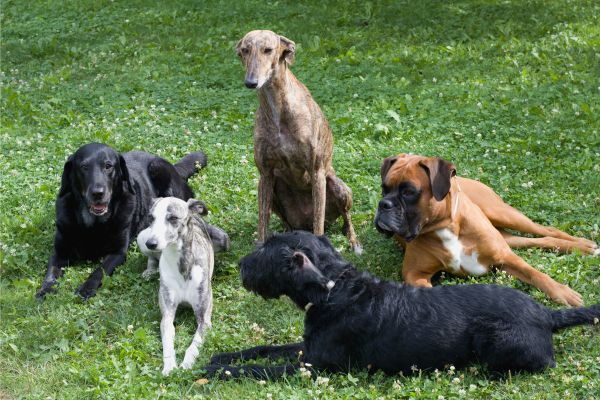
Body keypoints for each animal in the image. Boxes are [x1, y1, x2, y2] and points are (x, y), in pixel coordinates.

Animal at [36, 144, 209, 300]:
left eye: (108, 166)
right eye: (84, 167)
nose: (98, 193)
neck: (92, 225)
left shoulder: (118, 252)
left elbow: (99, 270)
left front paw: (86, 288)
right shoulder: (59, 252)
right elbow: (51, 272)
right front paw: (45, 289)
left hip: (160, 169)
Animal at [203, 230, 600, 380]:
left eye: (269, 251)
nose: (242, 265)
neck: (333, 288)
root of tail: (546, 314)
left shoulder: (315, 366)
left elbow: (260, 369)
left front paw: (216, 372)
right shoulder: (307, 349)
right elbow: (263, 349)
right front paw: (222, 358)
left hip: (496, 341)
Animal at [372, 153, 596, 306]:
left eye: (409, 192)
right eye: (384, 188)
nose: (383, 204)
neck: (446, 227)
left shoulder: (506, 257)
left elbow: (536, 274)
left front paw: (563, 292)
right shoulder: (414, 273)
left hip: (503, 214)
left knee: (548, 230)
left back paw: (585, 246)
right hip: (508, 237)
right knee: (539, 240)